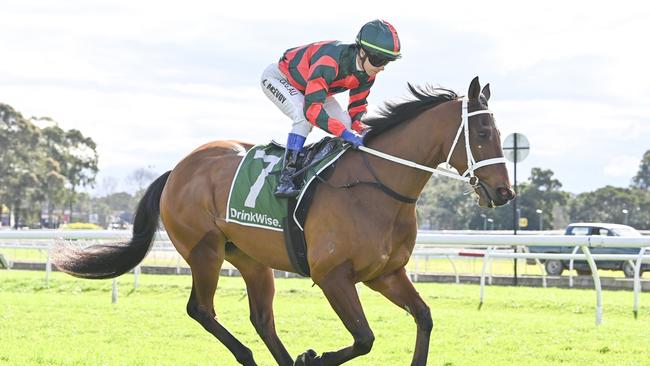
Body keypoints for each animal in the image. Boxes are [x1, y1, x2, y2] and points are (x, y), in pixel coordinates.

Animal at [52, 76, 512, 364]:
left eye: (501, 134)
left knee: (261, 319)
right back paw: (253, 356)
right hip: (204, 251)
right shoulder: (333, 276)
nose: (505, 193)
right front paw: (313, 357)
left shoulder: (385, 274)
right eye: (483, 133)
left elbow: (424, 318)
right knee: (201, 310)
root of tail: (176, 170)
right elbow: (364, 338)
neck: (376, 187)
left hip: (252, 260)